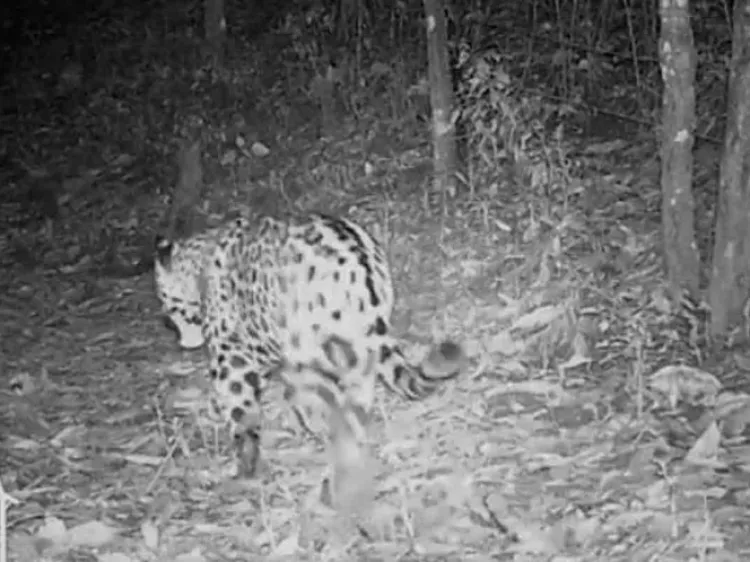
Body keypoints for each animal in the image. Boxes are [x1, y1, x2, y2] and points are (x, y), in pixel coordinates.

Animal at [153, 213, 465, 506]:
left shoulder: (233, 352)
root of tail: (360, 272)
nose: (183, 341)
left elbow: (240, 406)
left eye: (169, 308)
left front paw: (244, 462)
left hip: (307, 347)